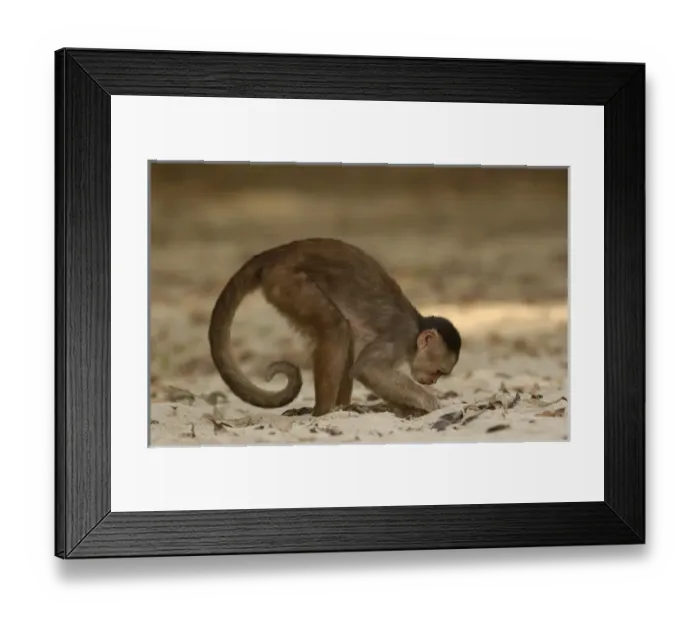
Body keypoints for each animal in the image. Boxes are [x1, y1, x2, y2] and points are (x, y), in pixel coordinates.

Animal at [208, 238, 462, 417]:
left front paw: (408, 410)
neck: (416, 330)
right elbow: (368, 369)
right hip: (285, 280)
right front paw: (429, 403)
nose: (432, 382)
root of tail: (277, 252)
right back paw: (325, 411)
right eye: (438, 371)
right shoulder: (400, 336)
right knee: (336, 328)